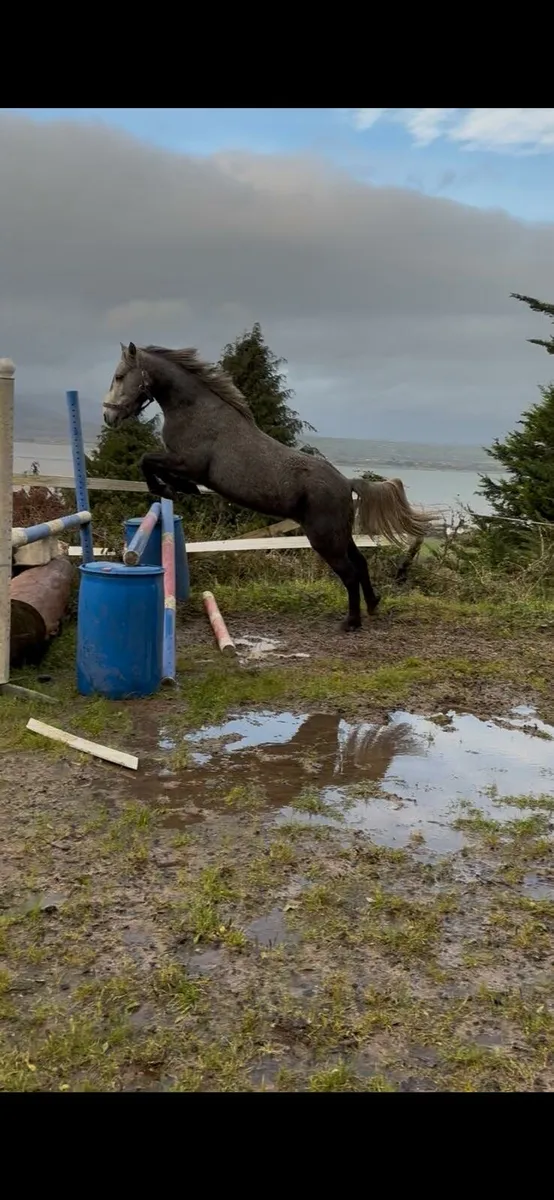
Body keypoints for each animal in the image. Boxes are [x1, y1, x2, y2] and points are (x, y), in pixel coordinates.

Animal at [103, 342, 433, 631]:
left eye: (119, 376)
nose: (108, 415)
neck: (195, 411)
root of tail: (346, 483)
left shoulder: (189, 463)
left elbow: (148, 461)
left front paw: (170, 488)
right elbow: (151, 463)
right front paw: (178, 488)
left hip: (324, 538)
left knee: (350, 573)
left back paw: (351, 623)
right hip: (339, 535)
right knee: (361, 563)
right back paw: (374, 605)